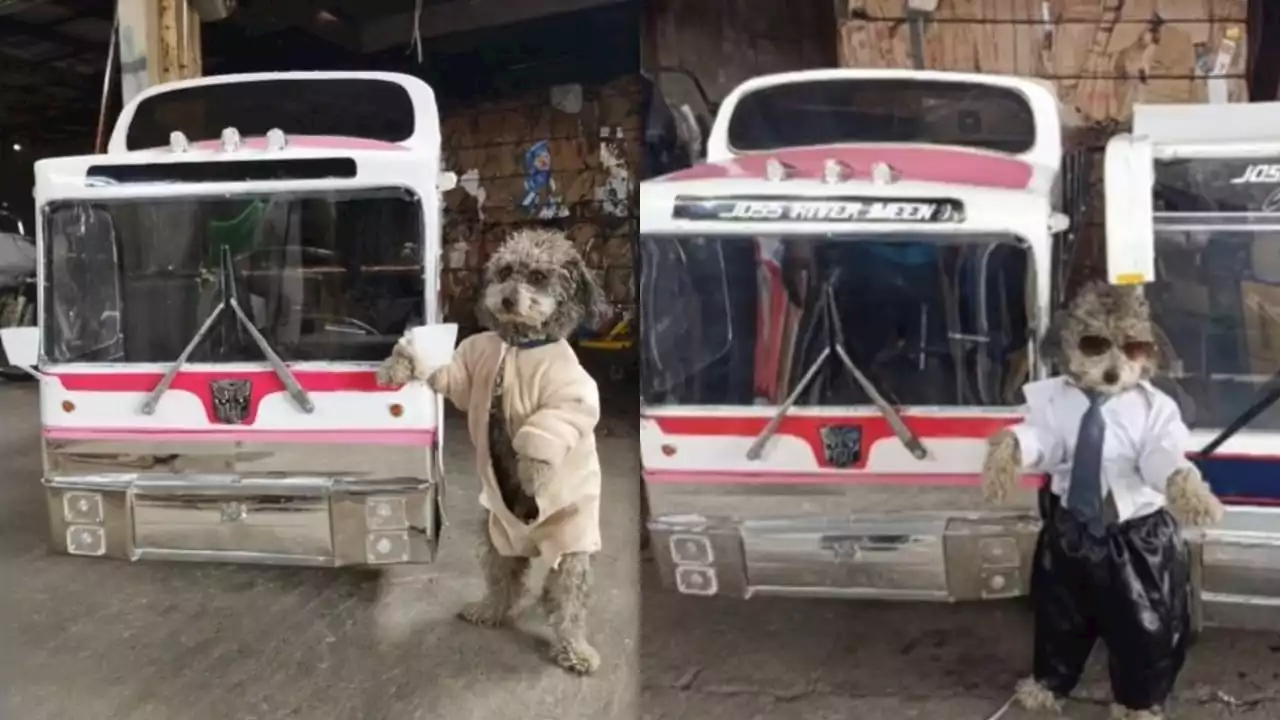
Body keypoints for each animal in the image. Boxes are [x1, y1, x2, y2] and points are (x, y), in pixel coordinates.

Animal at [373, 225, 609, 671]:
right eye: (505, 271)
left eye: (538, 276)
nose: (507, 299)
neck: (519, 348)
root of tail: (531, 539)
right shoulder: (467, 372)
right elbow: (442, 371)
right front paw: (397, 364)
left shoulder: (569, 396)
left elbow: (553, 423)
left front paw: (533, 468)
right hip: (496, 533)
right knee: (505, 580)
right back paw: (489, 609)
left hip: (571, 543)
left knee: (567, 600)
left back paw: (576, 649)